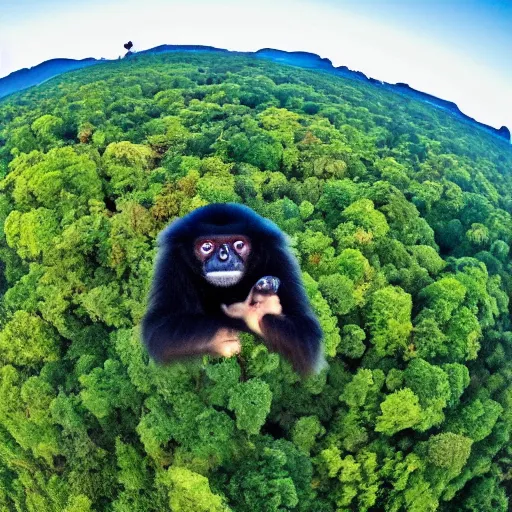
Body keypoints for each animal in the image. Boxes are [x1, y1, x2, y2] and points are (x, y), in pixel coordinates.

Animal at [141, 202, 324, 374]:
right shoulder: (172, 261)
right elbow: (158, 331)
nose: (224, 256)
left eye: (239, 245)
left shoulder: (278, 256)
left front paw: (254, 312)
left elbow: (307, 335)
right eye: (206, 246)